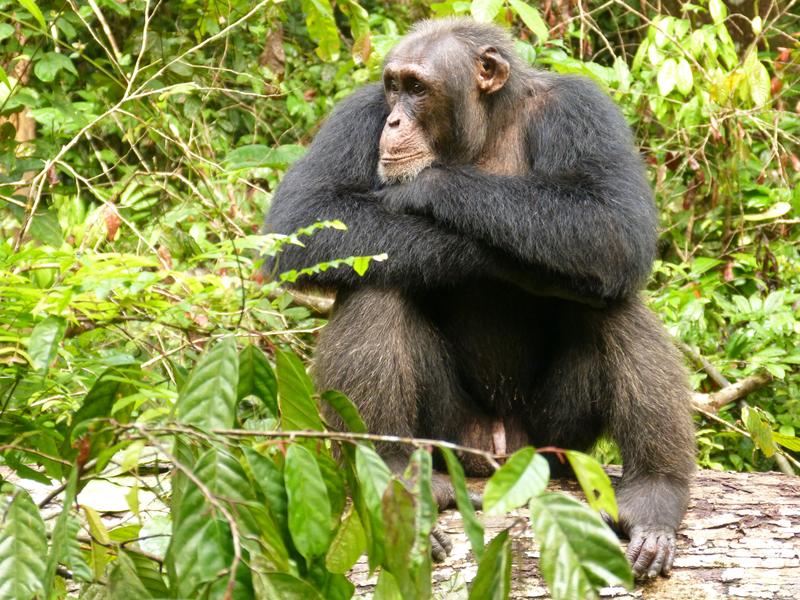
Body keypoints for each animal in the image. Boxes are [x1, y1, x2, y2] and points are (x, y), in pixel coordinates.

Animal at [266, 18, 696, 580]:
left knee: (613, 302)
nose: (395, 121)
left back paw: (654, 492)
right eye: (393, 86)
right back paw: (395, 477)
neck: (483, 132)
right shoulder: (356, 114)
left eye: (418, 88)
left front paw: (428, 187)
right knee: (374, 285)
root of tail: (496, 449)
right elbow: (304, 217)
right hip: (450, 435)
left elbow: (614, 220)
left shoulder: (584, 108)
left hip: (552, 442)